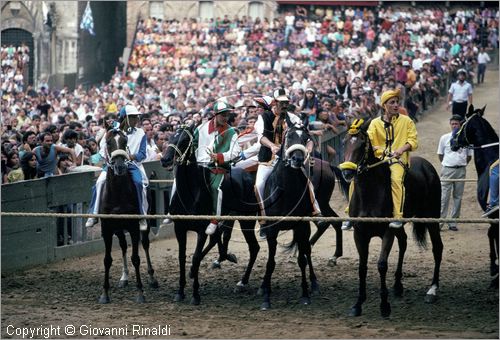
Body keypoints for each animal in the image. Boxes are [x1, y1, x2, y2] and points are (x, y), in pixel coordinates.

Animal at [97, 129, 145, 302]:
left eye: (125, 141)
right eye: (108, 142)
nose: (119, 166)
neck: (118, 194)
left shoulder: (134, 226)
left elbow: (136, 258)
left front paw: (140, 292)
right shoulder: (107, 228)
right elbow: (107, 260)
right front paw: (104, 293)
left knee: (145, 245)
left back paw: (153, 279)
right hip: (118, 229)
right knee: (123, 245)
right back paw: (124, 277)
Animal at [161, 123, 262, 304]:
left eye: (185, 140)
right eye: (170, 137)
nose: (165, 160)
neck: (190, 193)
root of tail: (248, 177)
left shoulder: (201, 230)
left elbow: (195, 256)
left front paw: (195, 295)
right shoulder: (180, 228)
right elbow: (182, 257)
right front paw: (180, 291)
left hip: (246, 221)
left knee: (253, 247)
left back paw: (242, 282)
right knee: (218, 237)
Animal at [340, 118, 442, 318]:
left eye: (362, 144)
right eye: (344, 142)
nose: (347, 173)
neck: (370, 192)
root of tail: (427, 167)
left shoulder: (387, 231)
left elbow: (381, 265)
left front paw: (384, 306)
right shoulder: (359, 233)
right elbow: (362, 267)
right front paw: (358, 304)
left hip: (431, 217)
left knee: (437, 248)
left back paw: (432, 290)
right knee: (403, 241)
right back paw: (397, 285)